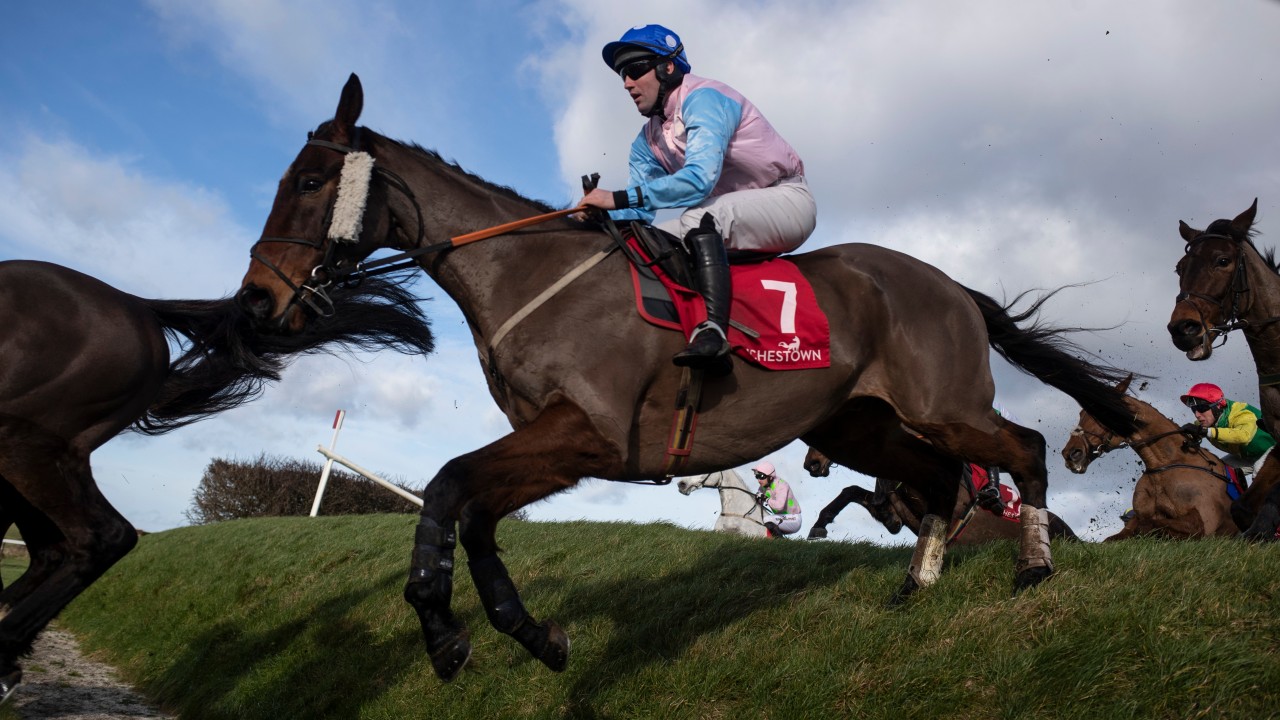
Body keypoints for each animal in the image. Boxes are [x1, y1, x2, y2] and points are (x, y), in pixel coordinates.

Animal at [1061, 377, 1238, 540]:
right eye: (1081, 413)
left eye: (1103, 412)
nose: (1070, 454)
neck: (1163, 464)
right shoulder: (1137, 516)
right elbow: (1117, 535)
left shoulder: (1202, 524)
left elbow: (1148, 524)